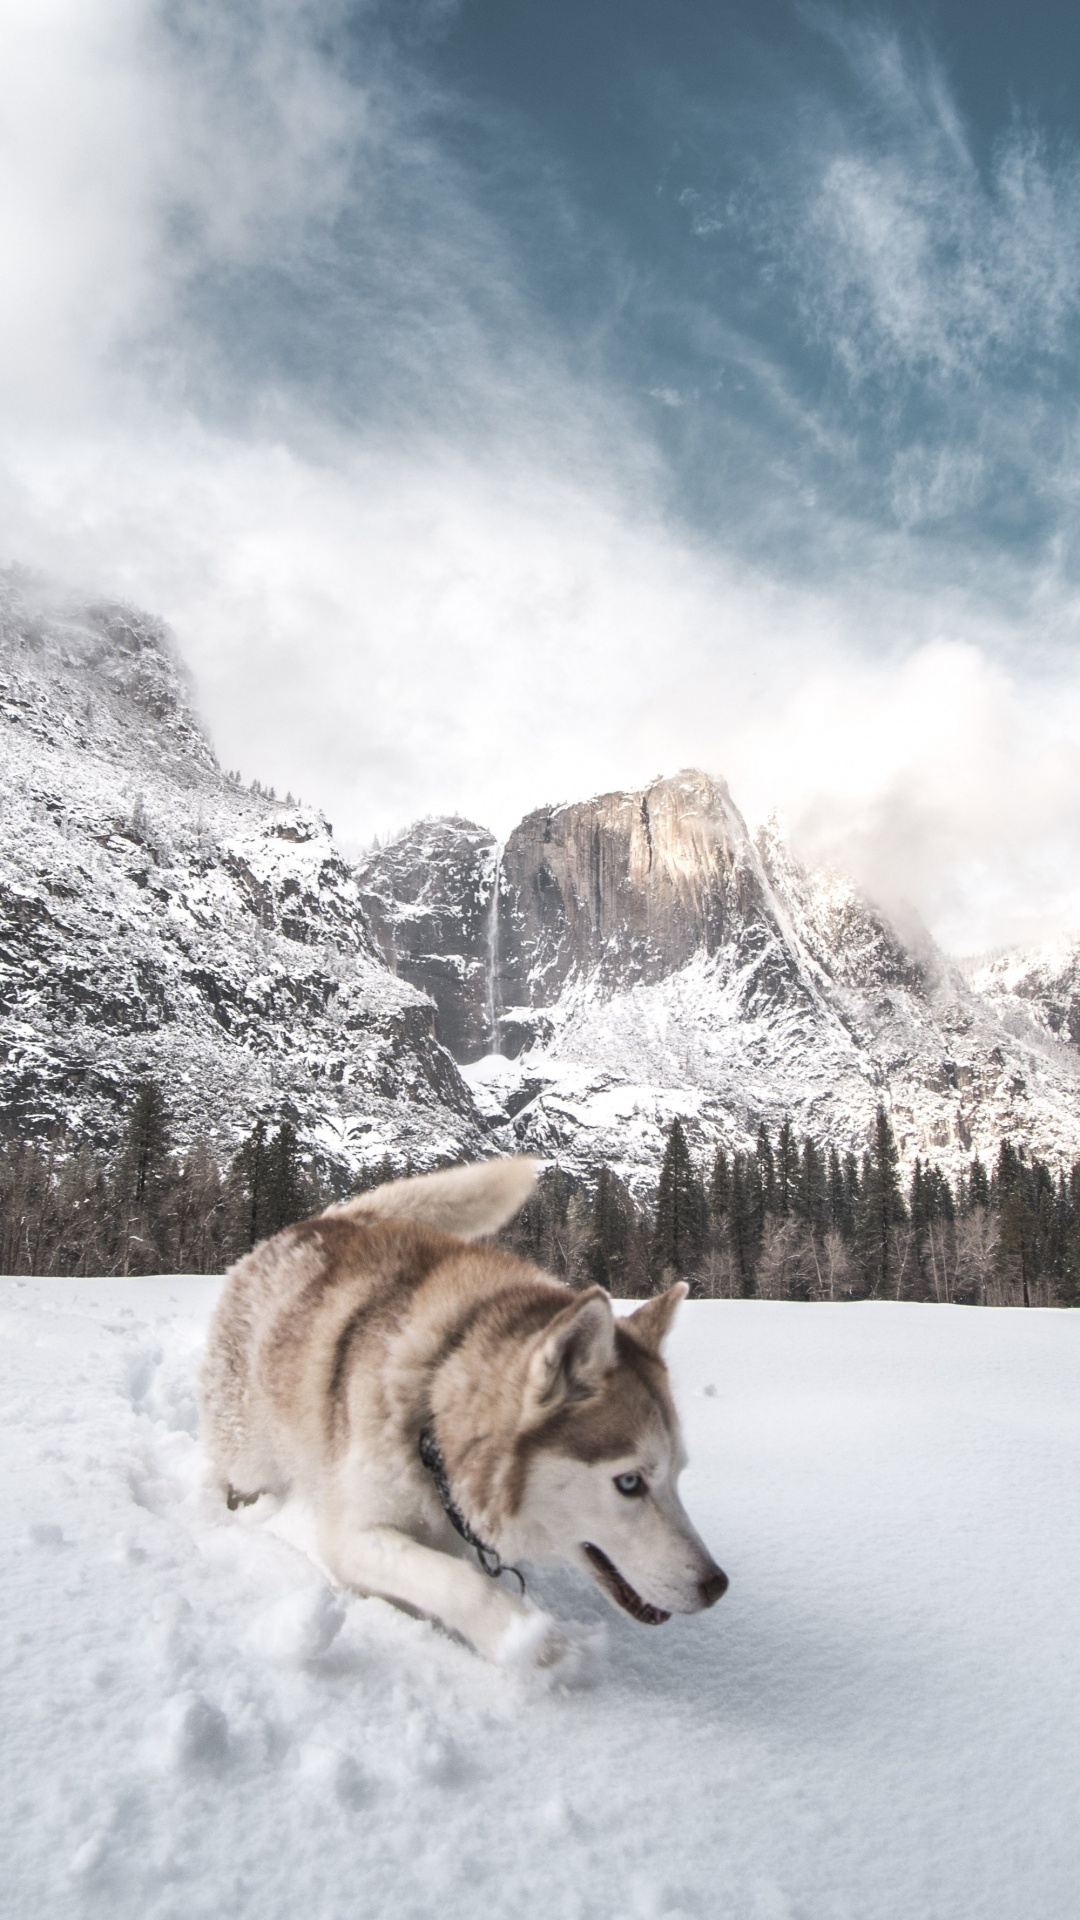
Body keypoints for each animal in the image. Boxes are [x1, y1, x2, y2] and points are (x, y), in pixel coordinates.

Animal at [201, 1152, 722, 1666]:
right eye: (629, 1483)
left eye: (678, 1474)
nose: (717, 1585)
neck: (433, 1400)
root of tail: (319, 1222)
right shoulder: (352, 1534)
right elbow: (463, 1586)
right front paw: (532, 1644)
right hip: (252, 1459)